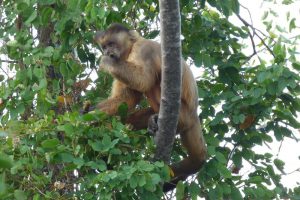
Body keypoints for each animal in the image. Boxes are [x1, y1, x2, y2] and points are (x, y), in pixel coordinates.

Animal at [94, 23, 206, 192]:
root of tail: (194, 114)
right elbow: (125, 100)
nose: (107, 52)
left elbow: (144, 80)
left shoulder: (142, 49)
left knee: (154, 80)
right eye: (105, 46)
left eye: (111, 44)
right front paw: (85, 114)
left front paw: (108, 62)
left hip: (183, 112)